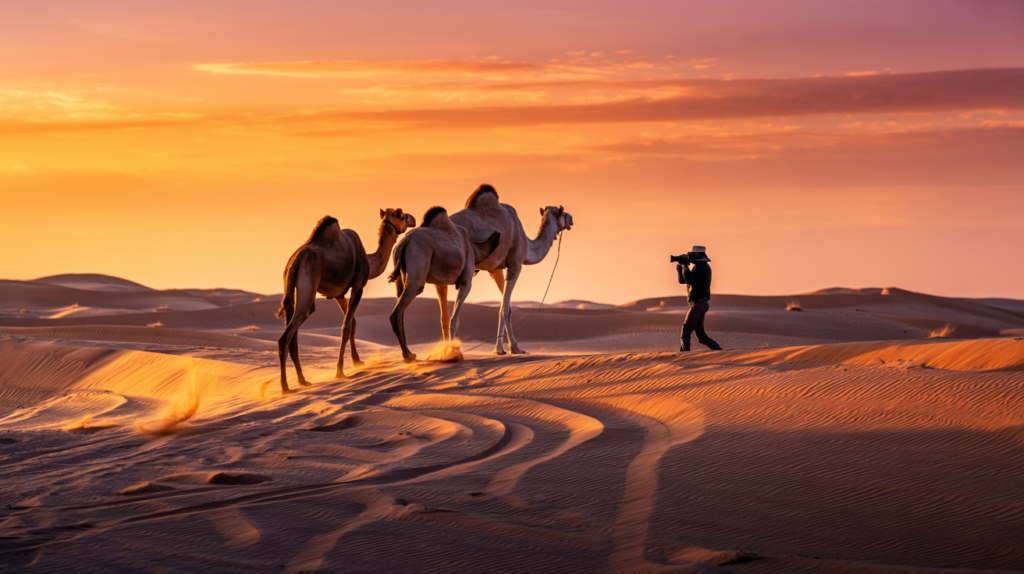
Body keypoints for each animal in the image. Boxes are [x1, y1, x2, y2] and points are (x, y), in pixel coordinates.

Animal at [276, 208, 416, 393]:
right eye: (401, 214)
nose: (413, 219)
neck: (370, 262)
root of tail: (294, 263)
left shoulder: (339, 294)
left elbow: (352, 323)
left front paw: (357, 361)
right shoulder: (358, 286)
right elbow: (346, 326)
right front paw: (340, 371)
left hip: (291, 290)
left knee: (293, 336)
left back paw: (302, 380)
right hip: (308, 283)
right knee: (287, 335)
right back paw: (285, 387)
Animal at [387, 206, 500, 362]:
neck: (474, 247)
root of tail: (404, 243)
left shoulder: (440, 285)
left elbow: (444, 320)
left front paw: (445, 353)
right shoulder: (466, 281)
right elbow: (454, 319)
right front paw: (455, 354)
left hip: (399, 277)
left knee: (400, 310)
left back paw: (410, 354)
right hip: (417, 264)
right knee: (397, 312)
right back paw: (408, 356)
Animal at [450, 184, 573, 355]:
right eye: (563, 212)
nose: (571, 219)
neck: (528, 246)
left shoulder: (495, 269)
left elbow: (507, 307)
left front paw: (514, 347)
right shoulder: (515, 265)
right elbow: (505, 309)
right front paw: (500, 349)